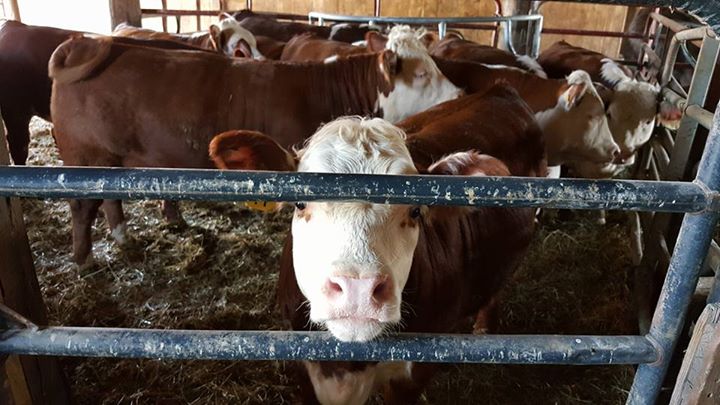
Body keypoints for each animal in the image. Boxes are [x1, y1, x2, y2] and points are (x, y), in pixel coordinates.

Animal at [49, 26, 462, 266]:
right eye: (421, 74)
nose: (459, 93)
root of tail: (84, 42)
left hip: (109, 163)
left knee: (109, 201)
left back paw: (123, 238)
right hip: (87, 159)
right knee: (83, 208)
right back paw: (84, 261)